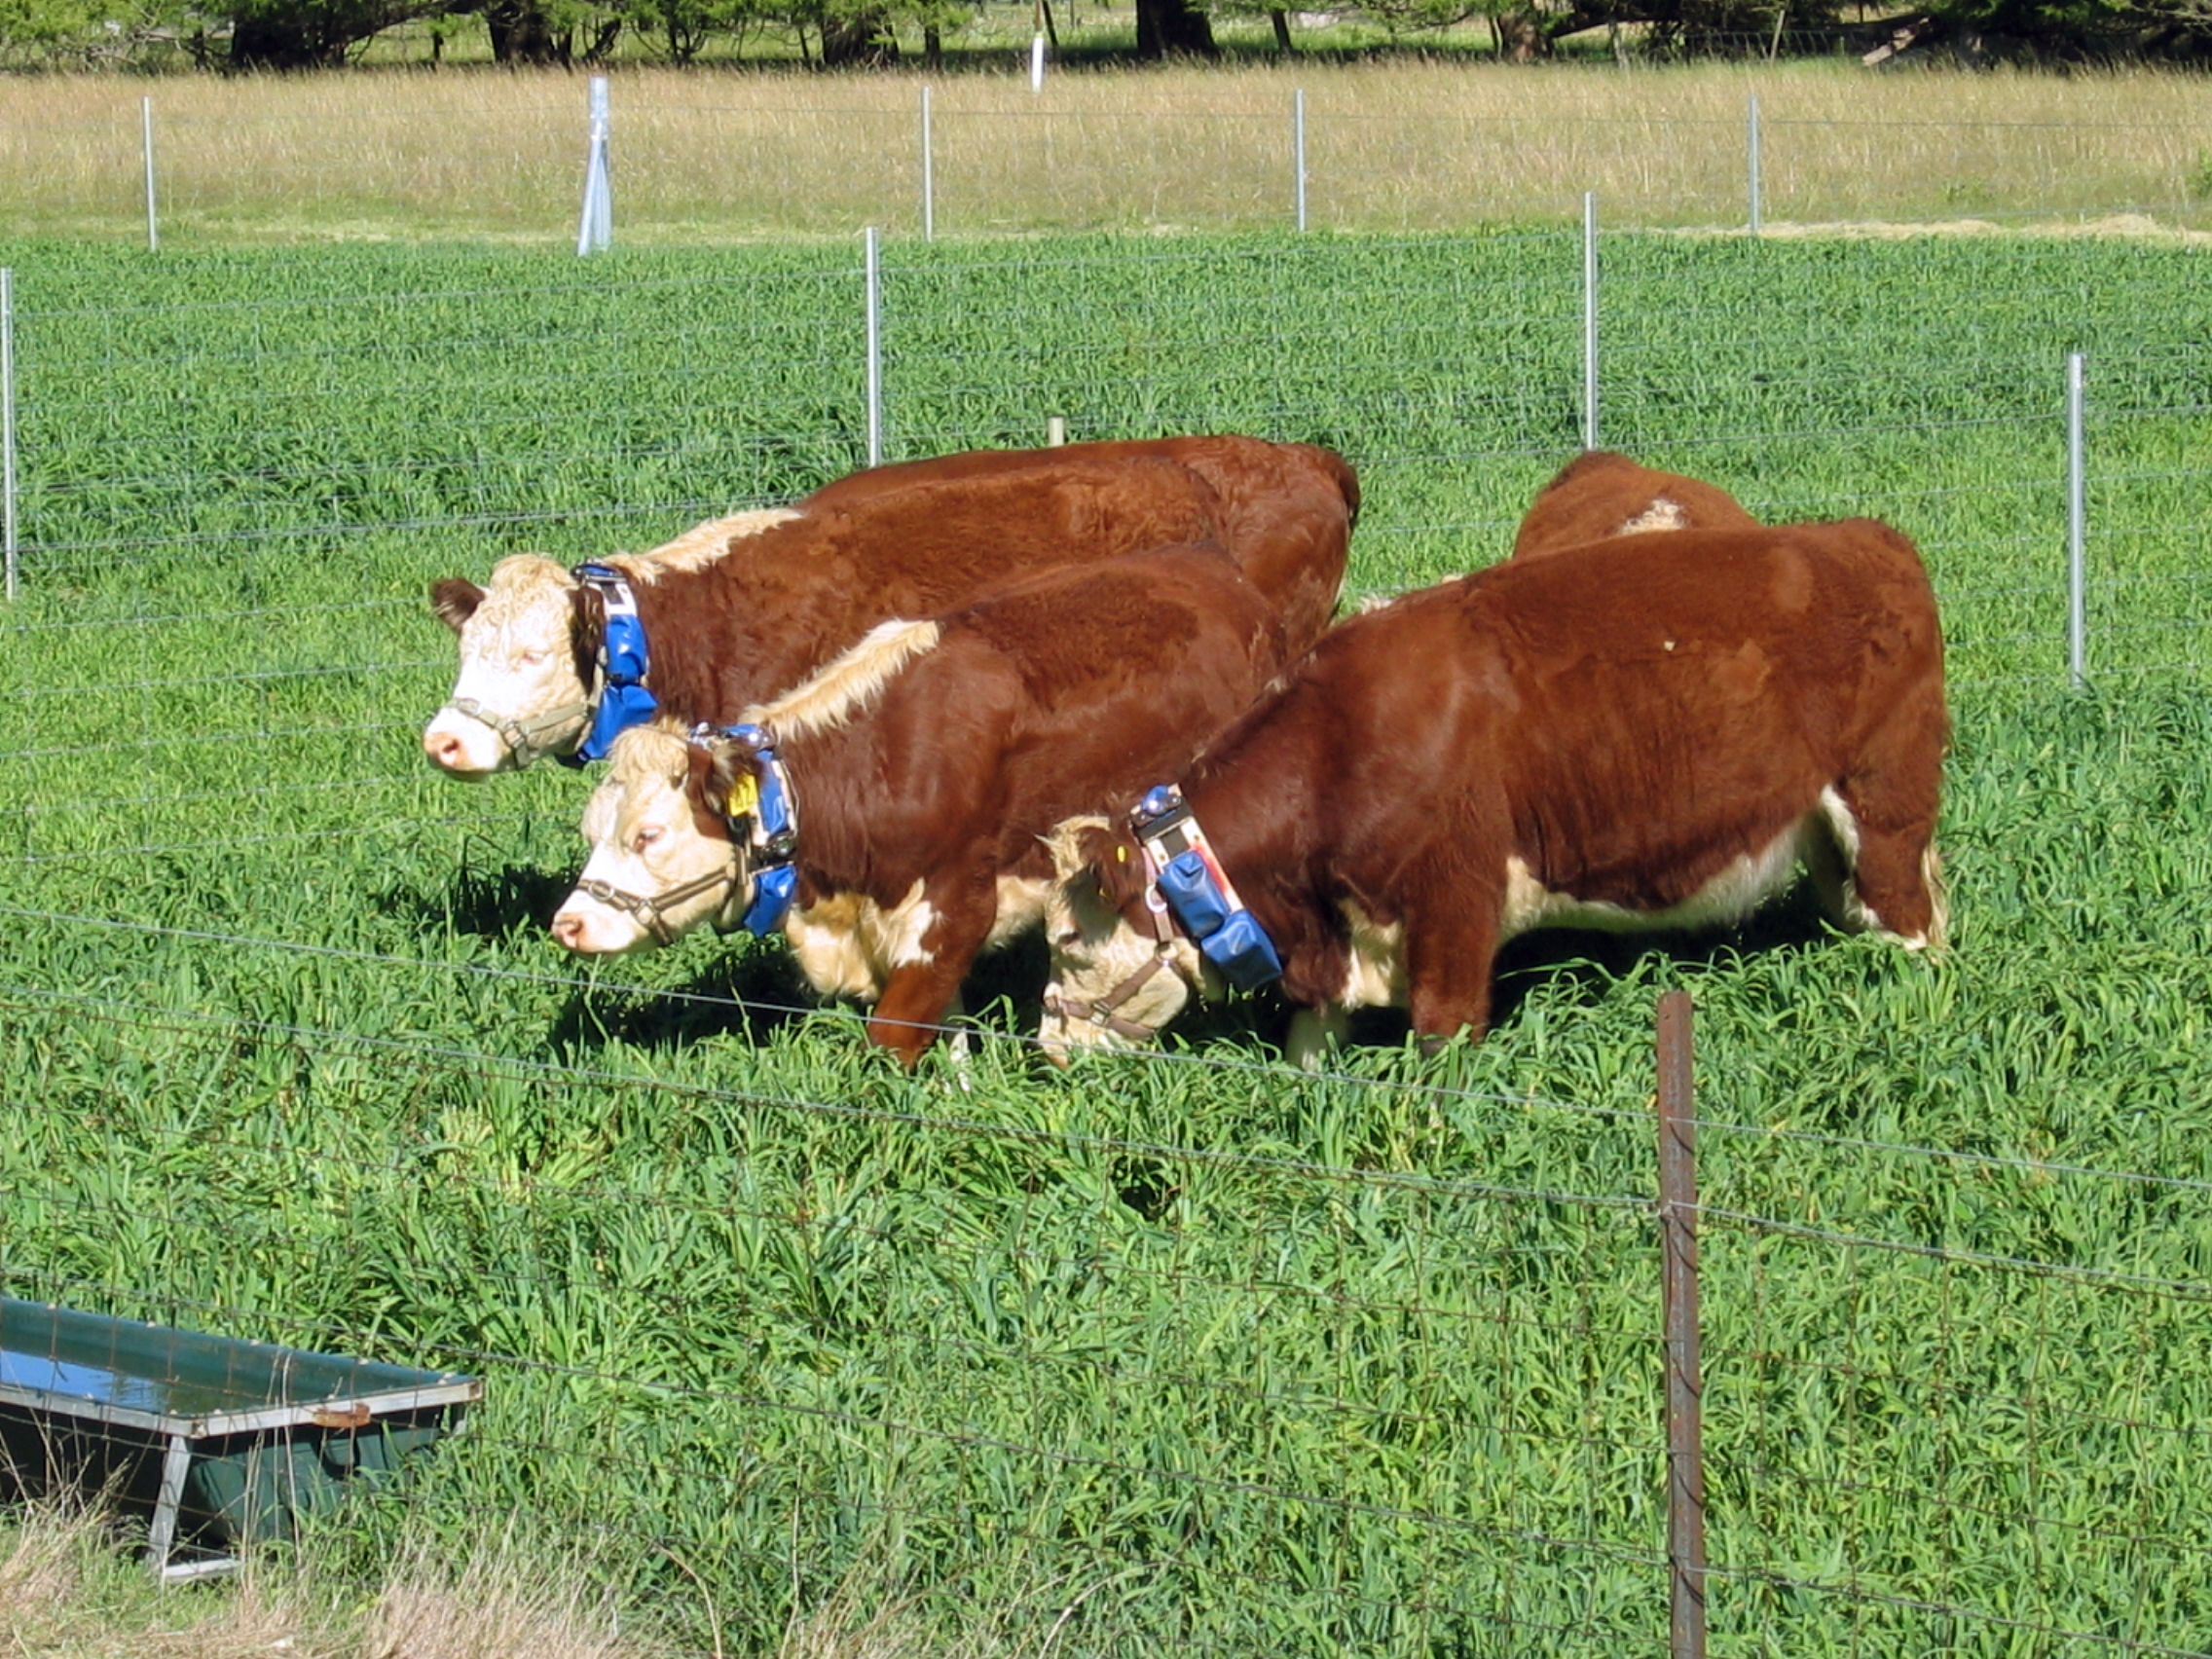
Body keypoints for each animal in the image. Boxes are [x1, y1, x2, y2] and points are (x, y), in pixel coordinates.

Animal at [541, 541, 1291, 1066]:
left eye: (648, 835)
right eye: (591, 833)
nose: (568, 926)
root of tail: (1211, 563)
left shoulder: (956, 906)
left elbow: (894, 1037)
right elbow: (949, 1027)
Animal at [1026, 519, 1946, 1066]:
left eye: (1069, 940)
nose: (1047, 1043)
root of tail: (1865, 537)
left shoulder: (1454, 903)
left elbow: (1444, 1037)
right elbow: (1309, 1045)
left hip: (1885, 806)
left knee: (1910, 918)